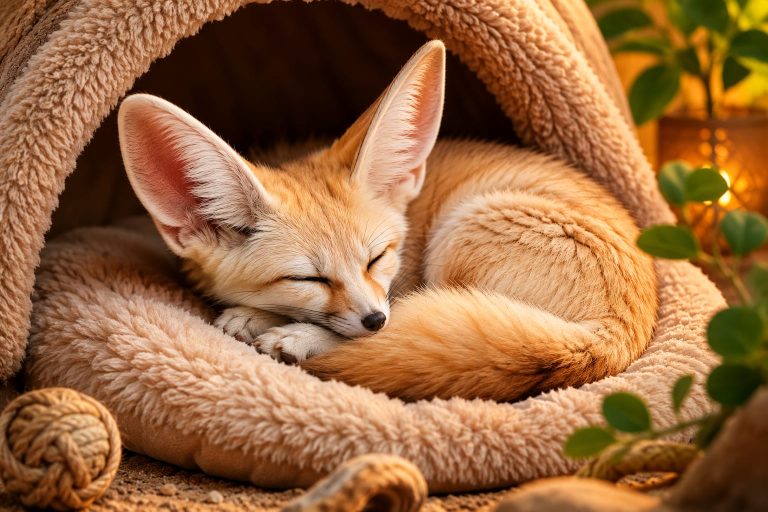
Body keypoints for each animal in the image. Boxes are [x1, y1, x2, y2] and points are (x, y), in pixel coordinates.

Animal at [117, 40, 657, 402]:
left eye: (377, 258)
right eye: (308, 278)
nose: (375, 319)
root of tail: (611, 337)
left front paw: (275, 325)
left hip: (461, 232)